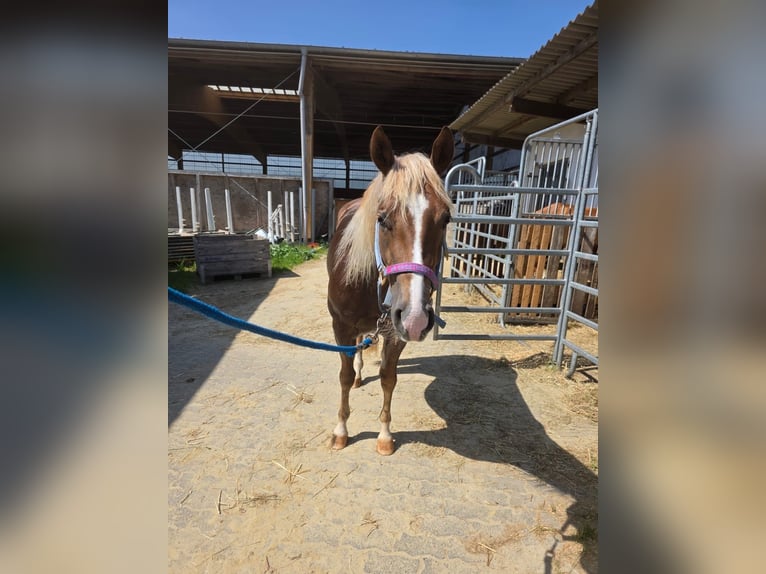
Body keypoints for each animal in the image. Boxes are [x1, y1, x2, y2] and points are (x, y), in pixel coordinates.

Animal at [326, 125, 454, 455]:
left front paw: (384, 435)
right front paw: (340, 431)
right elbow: (343, 376)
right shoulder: (341, 326)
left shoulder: (395, 333)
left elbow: (388, 377)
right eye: (382, 219)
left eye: (446, 219)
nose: (415, 316)